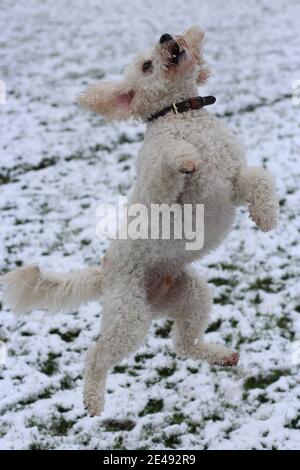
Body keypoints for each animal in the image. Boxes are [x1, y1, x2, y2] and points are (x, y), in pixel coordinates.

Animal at [0, 26, 278, 414]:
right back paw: (93, 401)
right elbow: (170, 158)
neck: (180, 114)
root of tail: (105, 273)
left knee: (184, 344)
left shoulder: (232, 184)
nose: (165, 36)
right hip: (128, 316)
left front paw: (267, 217)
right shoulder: (161, 192)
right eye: (147, 65)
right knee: (97, 355)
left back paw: (222, 356)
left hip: (192, 295)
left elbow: (261, 178)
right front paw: (186, 157)